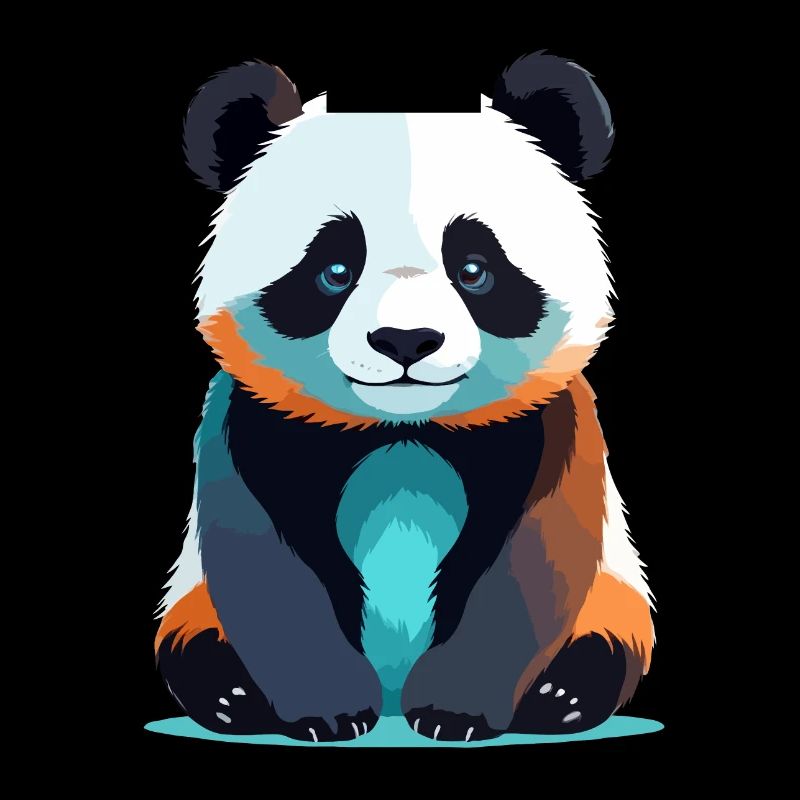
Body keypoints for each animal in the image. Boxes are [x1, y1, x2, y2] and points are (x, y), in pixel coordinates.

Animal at [155, 52, 654, 743]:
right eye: (334, 270)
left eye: (474, 268)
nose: (406, 341)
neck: (404, 430)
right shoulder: (250, 421)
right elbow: (269, 564)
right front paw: (329, 712)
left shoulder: (551, 423)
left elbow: (526, 559)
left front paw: (453, 711)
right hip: (191, 601)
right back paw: (232, 694)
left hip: (613, 594)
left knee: (605, 641)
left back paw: (563, 694)